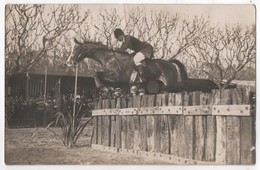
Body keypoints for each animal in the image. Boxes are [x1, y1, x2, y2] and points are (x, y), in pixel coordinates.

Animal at [66, 38, 236, 93]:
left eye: (76, 49)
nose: (68, 62)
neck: (110, 58)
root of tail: (169, 62)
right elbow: (98, 75)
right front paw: (107, 90)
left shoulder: (119, 77)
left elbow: (97, 74)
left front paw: (105, 89)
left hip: (171, 82)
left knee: (180, 87)